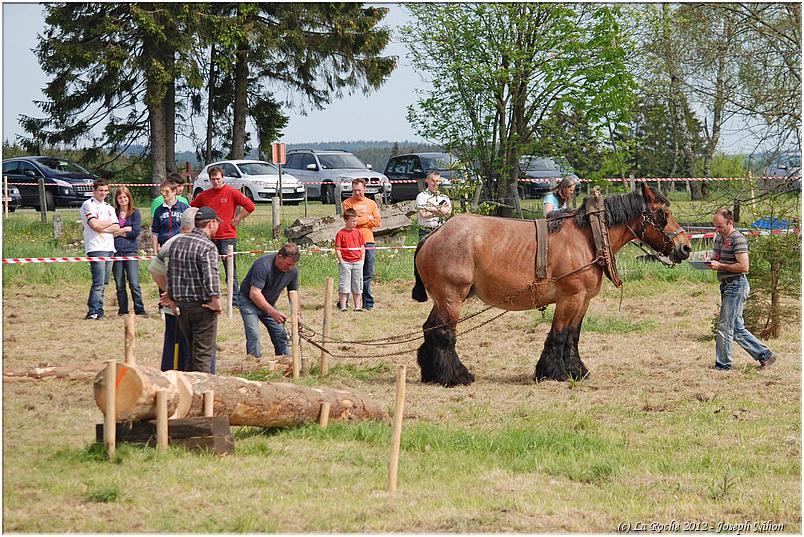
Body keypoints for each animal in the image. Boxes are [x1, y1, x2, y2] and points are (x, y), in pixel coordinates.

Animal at [414, 184, 692, 386]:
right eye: (664, 214)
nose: (685, 247)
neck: (588, 237)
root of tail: (433, 236)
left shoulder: (583, 300)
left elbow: (572, 337)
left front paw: (576, 370)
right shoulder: (570, 297)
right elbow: (558, 335)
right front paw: (554, 372)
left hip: (443, 298)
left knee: (430, 329)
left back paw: (432, 373)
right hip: (452, 296)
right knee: (444, 334)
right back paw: (456, 376)